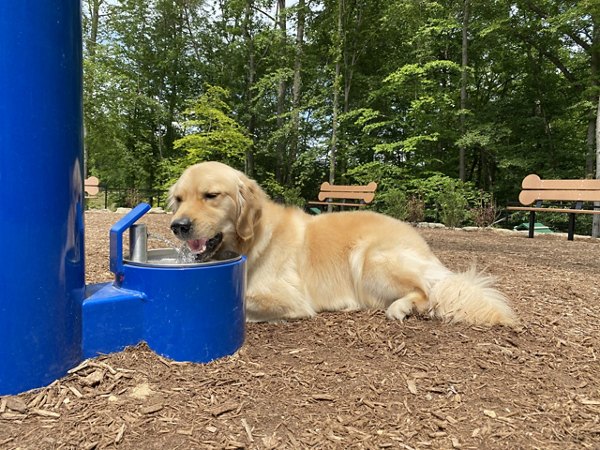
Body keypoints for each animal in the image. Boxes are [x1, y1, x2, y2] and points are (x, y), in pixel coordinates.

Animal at [168, 162, 516, 326]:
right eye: (179, 199)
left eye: (211, 195)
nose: (177, 226)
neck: (251, 241)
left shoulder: (290, 298)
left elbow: (242, 303)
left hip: (371, 258)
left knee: (427, 294)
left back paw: (400, 308)